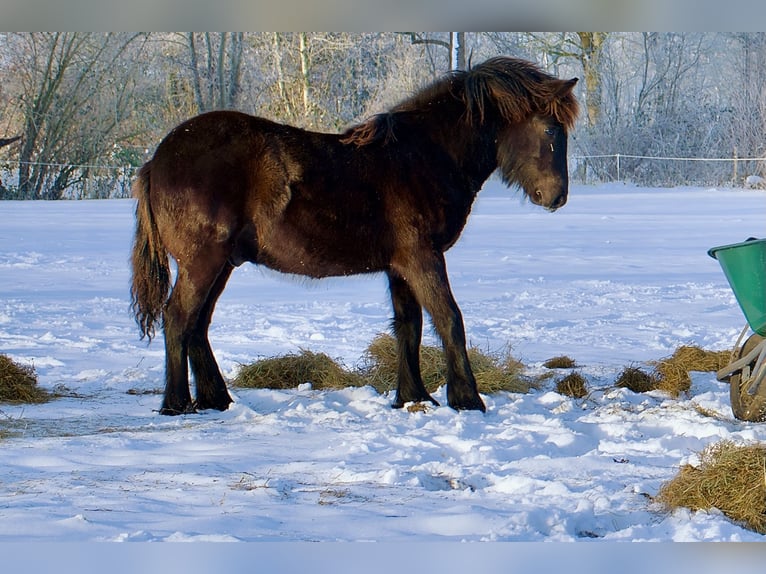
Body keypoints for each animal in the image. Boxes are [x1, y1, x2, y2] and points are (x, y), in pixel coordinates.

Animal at [130, 56, 579, 415]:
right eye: (550, 131)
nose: (557, 196)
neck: (423, 156)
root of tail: (157, 159)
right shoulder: (423, 257)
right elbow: (449, 319)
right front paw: (467, 399)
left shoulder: (400, 266)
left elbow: (409, 325)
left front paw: (413, 397)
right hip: (203, 262)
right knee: (178, 319)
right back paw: (176, 404)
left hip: (222, 263)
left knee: (197, 325)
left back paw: (215, 399)